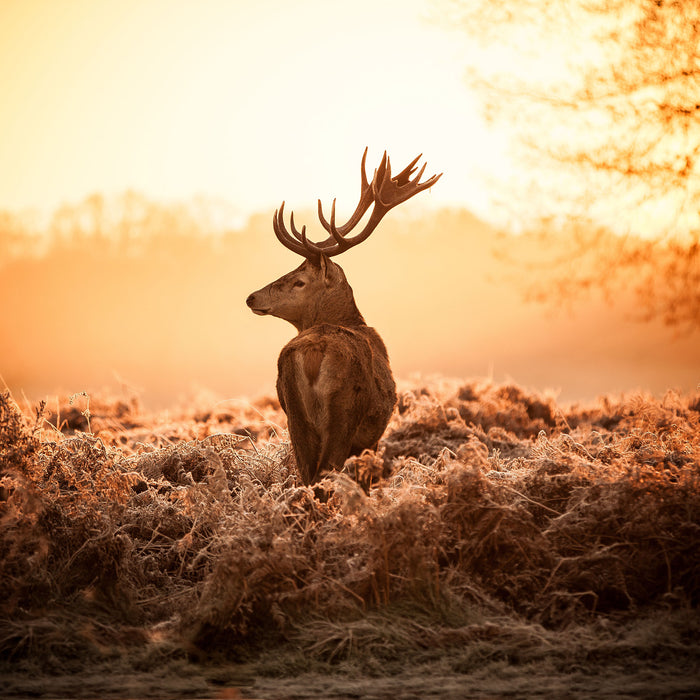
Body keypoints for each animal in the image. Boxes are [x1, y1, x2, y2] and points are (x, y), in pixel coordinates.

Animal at [246, 148, 440, 486]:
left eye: (299, 281)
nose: (252, 297)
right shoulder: (372, 438)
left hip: (294, 415)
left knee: (307, 475)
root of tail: (313, 352)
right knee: (325, 473)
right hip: (344, 412)